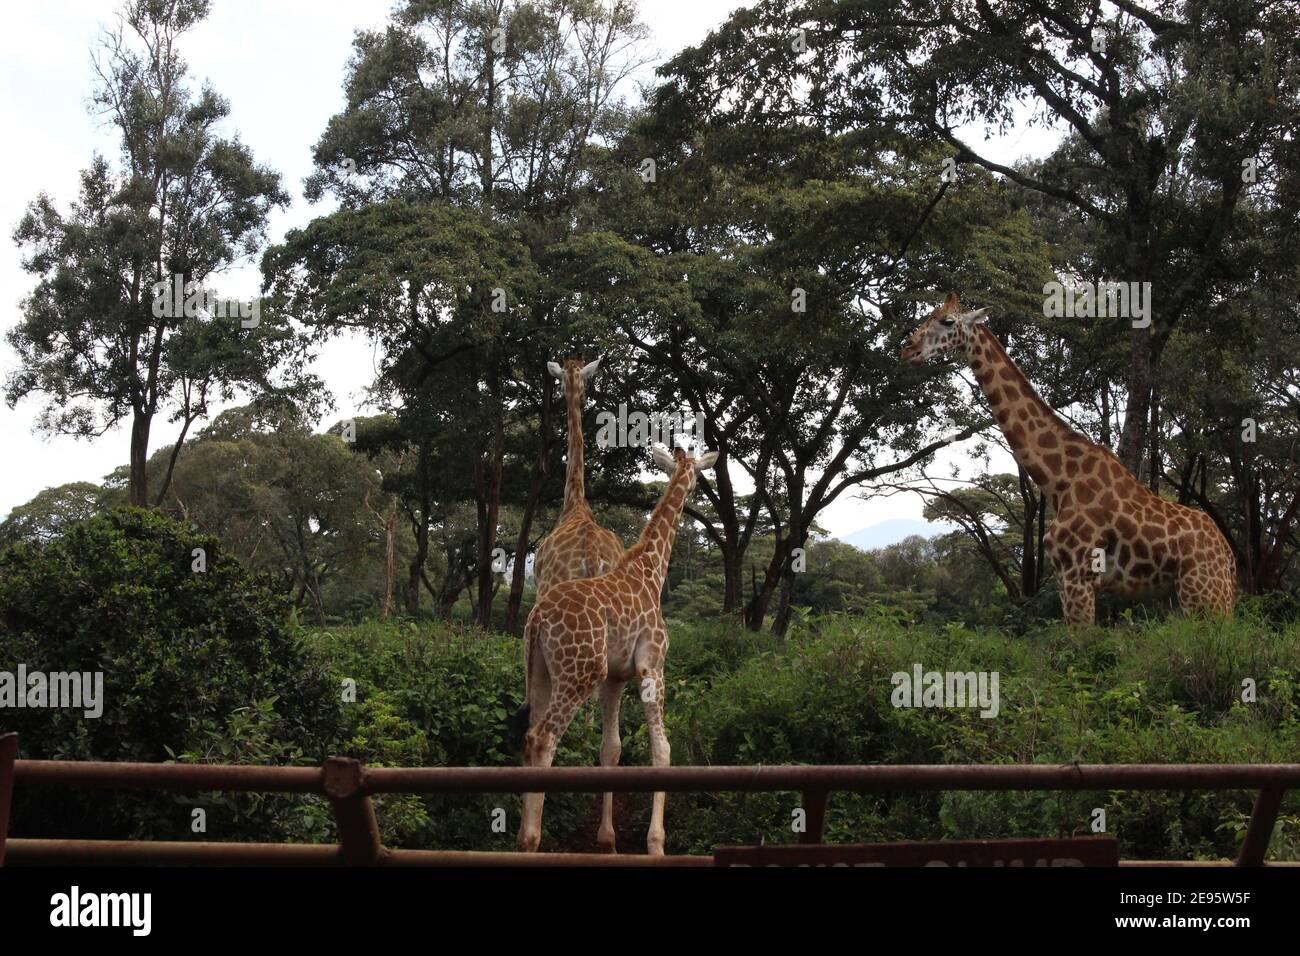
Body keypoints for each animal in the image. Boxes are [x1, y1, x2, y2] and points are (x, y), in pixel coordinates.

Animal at [514, 444, 722, 858]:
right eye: (697, 474)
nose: (697, 490)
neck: (651, 570)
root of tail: (539, 619)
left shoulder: (614, 678)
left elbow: (610, 748)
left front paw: (607, 840)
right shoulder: (652, 665)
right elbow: (662, 749)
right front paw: (656, 843)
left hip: (541, 671)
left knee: (529, 736)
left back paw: (521, 839)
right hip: (579, 673)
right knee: (543, 740)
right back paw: (531, 840)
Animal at [899, 293, 1242, 629]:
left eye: (947, 321)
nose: (908, 349)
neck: (1057, 478)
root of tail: (1229, 556)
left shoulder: (1078, 575)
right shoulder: (1064, 580)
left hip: (1206, 595)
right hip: (1183, 597)